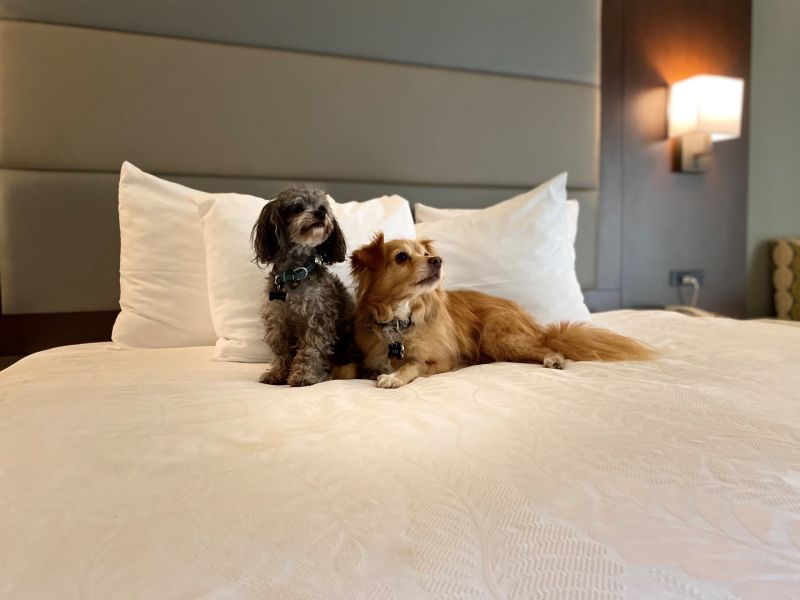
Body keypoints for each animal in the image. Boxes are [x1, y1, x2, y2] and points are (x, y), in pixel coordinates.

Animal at [350, 232, 656, 386]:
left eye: (425, 254)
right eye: (401, 257)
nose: (438, 260)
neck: (400, 322)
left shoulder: (442, 361)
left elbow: (413, 365)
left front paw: (393, 377)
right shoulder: (369, 361)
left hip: (496, 335)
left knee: (544, 345)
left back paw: (554, 358)